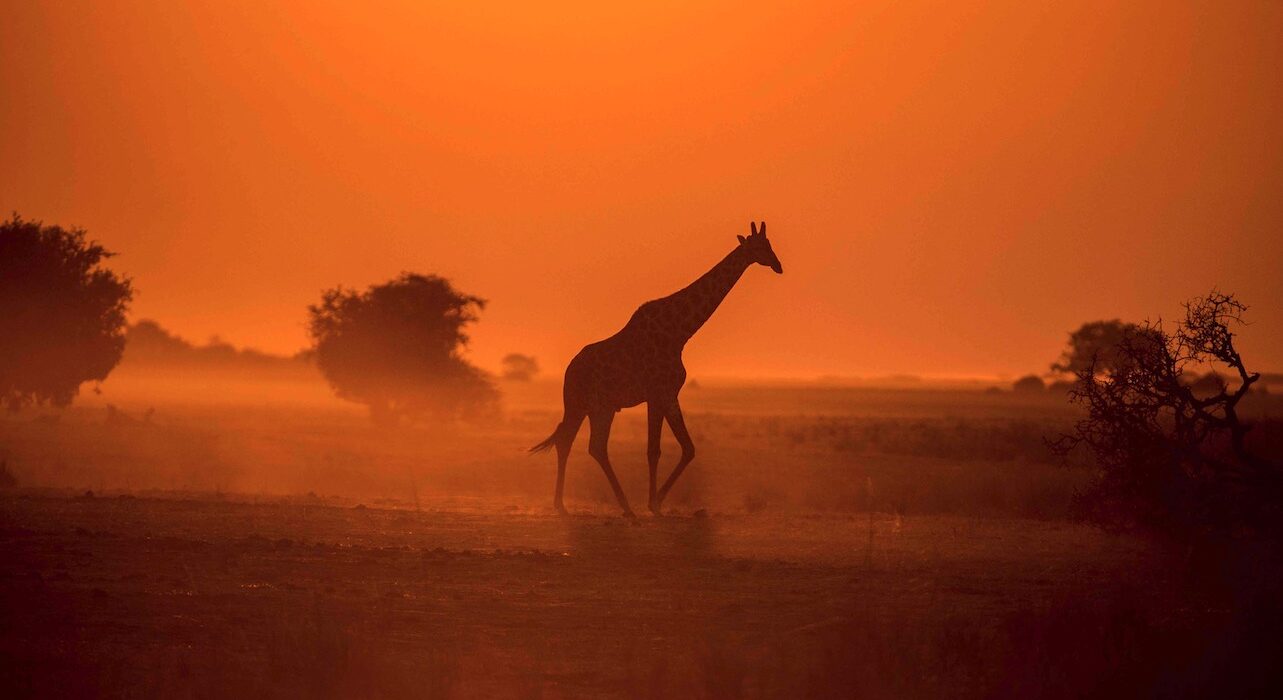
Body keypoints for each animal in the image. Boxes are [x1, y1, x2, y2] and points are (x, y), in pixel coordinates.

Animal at [531, 221, 784, 517]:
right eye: (759, 247)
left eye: (770, 244)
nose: (778, 265)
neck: (679, 333)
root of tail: (568, 371)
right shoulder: (656, 393)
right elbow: (655, 450)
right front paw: (654, 503)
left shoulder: (669, 394)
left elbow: (686, 448)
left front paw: (657, 501)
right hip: (589, 405)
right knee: (582, 444)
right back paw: (605, 506)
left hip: (593, 407)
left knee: (580, 443)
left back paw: (578, 504)